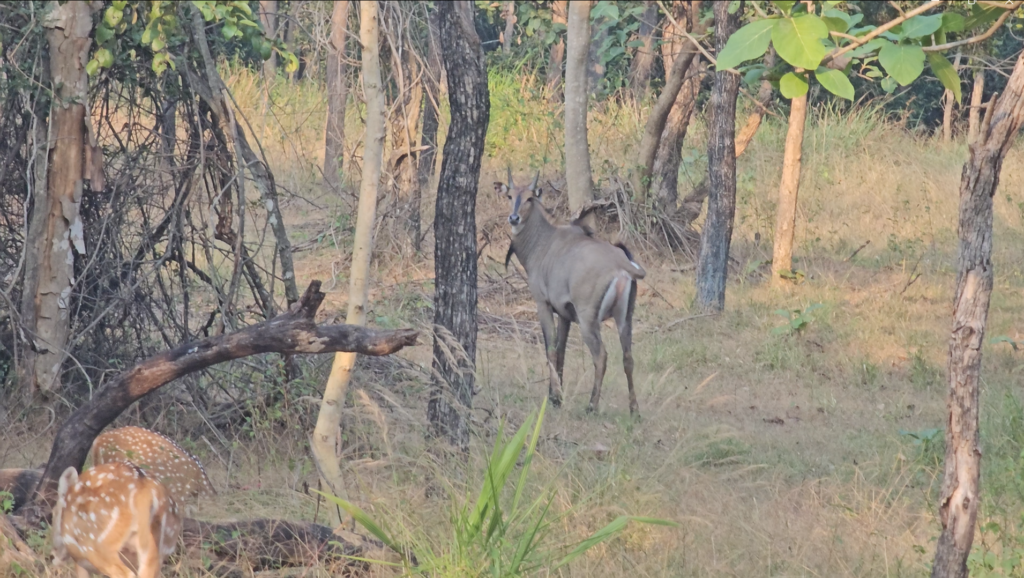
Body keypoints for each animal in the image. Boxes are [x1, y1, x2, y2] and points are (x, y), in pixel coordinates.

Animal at [52, 461, 183, 578]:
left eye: (53, 512)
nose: (55, 553)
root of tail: (145, 489)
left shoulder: (79, 559)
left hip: (97, 546)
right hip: (157, 546)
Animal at [497, 170, 646, 416]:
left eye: (530, 198)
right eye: (510, 196)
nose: (514, 218)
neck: (542, 242)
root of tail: (623, 265)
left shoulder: (543, 304)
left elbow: (550, 349)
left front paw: (556, 396)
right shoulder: (565, 314)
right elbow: (561, 351)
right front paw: (555, 395)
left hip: (588, 319)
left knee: (601, 355)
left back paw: (592, 405)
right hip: (625, 318)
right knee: (628, 357)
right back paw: (634, 410)